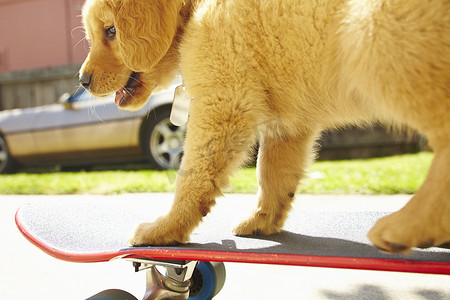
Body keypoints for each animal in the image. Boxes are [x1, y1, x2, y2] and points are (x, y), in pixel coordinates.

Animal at [80, 0, 450, 253]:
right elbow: (273, 175)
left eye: (111, 31)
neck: (197, 8)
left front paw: (165, 229)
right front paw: (262, 222)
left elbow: (192, 176)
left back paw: (409, 226)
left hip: (374, 37)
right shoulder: (288, 126)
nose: (82, 80)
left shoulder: (222, 102)